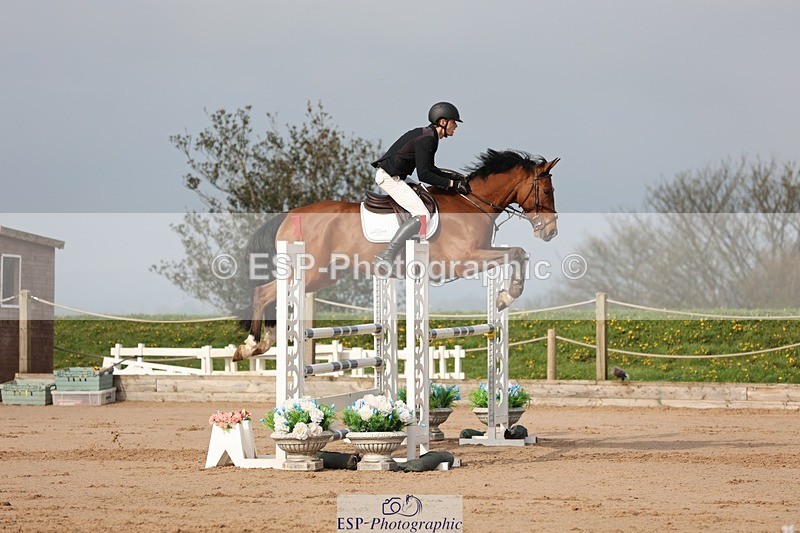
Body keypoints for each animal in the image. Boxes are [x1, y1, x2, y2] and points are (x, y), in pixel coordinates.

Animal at [233, 149, 559, 361]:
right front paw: (507, 295)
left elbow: (518, 253)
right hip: (309, 271)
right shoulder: (462, 261)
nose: (551, 232)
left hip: (322, 276)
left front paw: (503, 297)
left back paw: (265, 342)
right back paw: (250, 345)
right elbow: (516, 252)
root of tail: (289, 215)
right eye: (546, 191)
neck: (471, 204)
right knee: (263, 293)